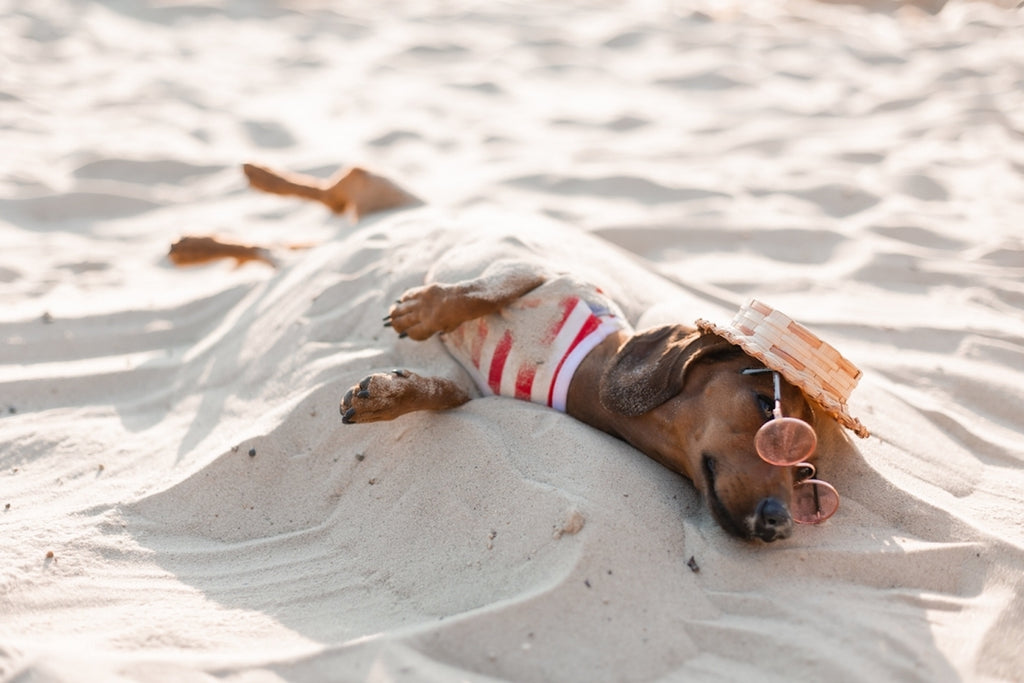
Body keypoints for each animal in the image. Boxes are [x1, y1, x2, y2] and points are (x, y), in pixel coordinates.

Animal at [241, 162, 872, 540]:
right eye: (769, 411)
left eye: (807, 473)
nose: (779, 524)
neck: (584, 371)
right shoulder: (532, 269)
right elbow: (477, 293)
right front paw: (422, 311)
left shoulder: (477, 386)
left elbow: (442, 392)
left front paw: (388, 395)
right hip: (374, 187)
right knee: (333, 182)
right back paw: (260, 176)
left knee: (282, 239)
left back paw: (226, 240)